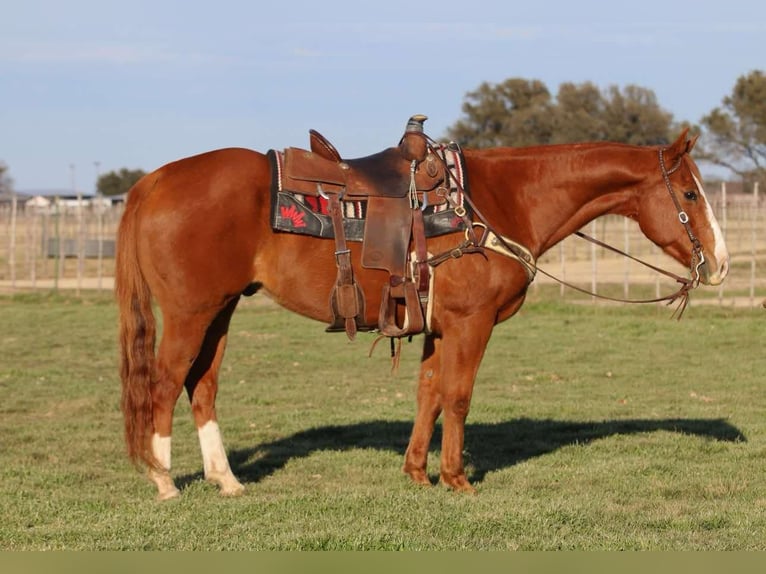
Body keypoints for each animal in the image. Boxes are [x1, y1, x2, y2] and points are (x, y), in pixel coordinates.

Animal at [116, 124, 729, 500]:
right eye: (690, 195)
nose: (720, 263)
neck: (498, 200)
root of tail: (154, 181)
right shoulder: (470, 324)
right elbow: (457, 396)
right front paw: (456, 478)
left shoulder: (437, 325)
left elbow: (428, 393)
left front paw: (416, 472)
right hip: (191, 313)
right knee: (164, 384)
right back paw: (165, 481)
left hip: (219, 312)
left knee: (202, 385)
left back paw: (226, 480)